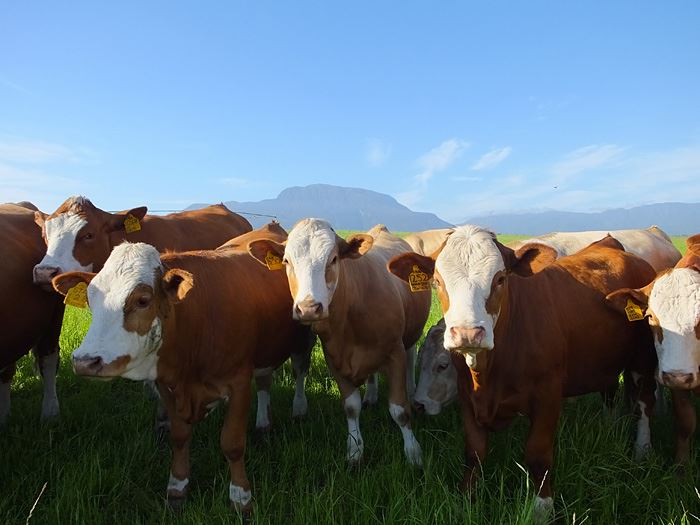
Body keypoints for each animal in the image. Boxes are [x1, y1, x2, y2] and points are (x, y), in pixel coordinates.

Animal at [52, 238, 314, 515]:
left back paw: (298, 409)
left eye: (142, 300)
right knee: (264, 381)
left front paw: (241, 498)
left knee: (298, 371)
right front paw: (177, 488)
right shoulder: (168, 385)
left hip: (301, 340)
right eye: (90, 300)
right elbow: (178, 437)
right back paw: (263, 426)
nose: (85, 362)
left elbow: (232, 444)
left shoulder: (239, 382)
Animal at [248, 220, 431, 466]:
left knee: (411, 359)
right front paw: (354, 451)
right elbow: (351, 408)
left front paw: (413, 452)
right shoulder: (334, 359)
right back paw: (370, 396)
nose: (308, 308)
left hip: (411, 336)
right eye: (286, 261)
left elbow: (399, 410)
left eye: (333, 259)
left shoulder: (395, 353)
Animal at [387, 226, 658, 522]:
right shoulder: (467, 396)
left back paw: (642, 449)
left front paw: (542, 507)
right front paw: (466, 497)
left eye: (500, 279)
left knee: (644, 403)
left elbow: (538, 454)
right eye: (437, 281)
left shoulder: (547, 396)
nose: (468, 333)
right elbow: (474, 451)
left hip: (644, 357)